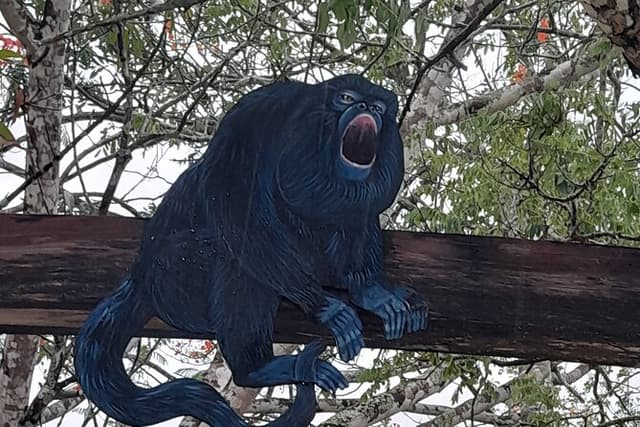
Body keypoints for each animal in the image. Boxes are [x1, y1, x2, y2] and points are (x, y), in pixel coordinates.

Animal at [74, 74, 428, 426]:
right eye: (346, 98)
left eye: (379, 107)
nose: (366, 107)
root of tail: (139, 275)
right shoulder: (252, 117)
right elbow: (236, 212)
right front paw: (326, 307)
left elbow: (359, 221)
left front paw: (372, 293)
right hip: (172, 279)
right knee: (235, 262)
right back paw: (257, 369)